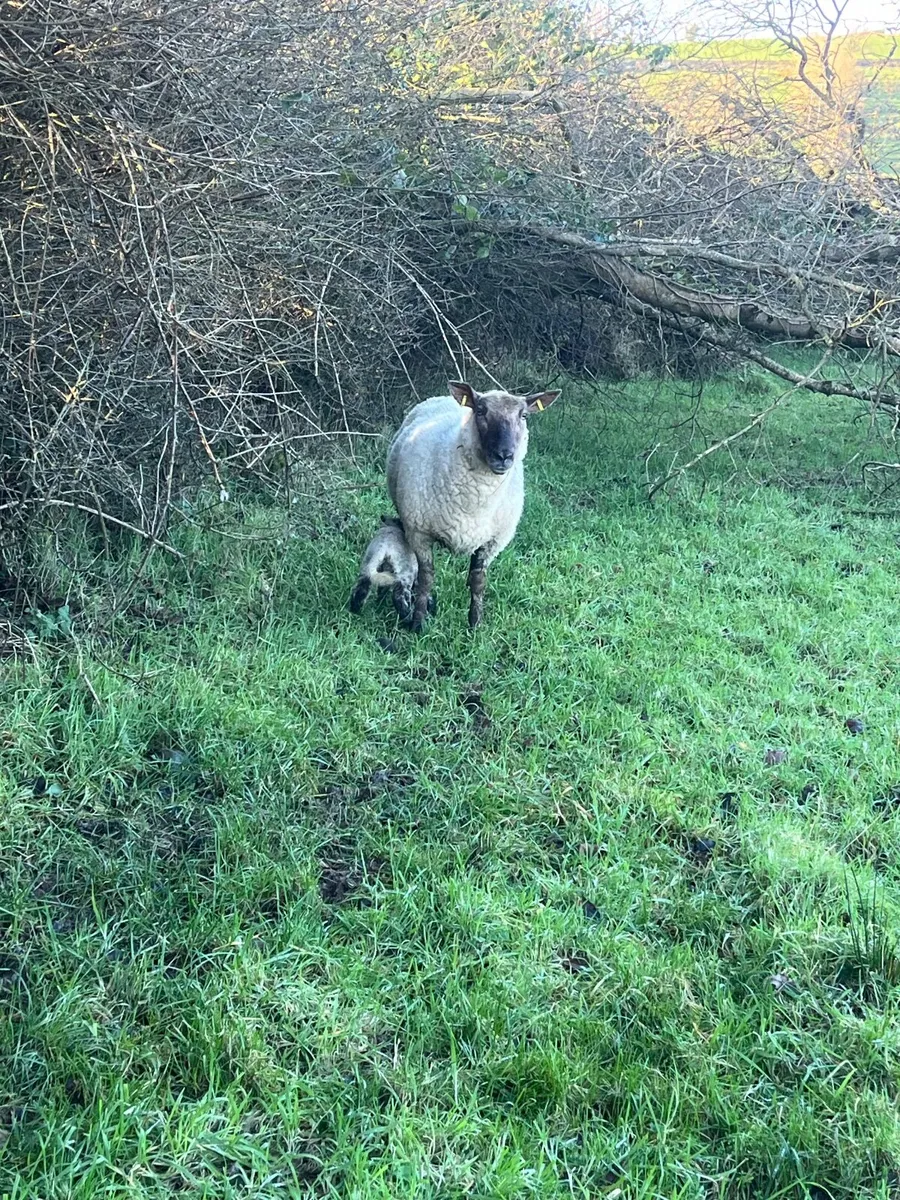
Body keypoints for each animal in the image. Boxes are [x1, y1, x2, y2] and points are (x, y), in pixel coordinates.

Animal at [386, 378, 560, 632]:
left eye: (524, 415)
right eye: (480, 411)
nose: (504, 456)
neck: (475, 500)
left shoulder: (493, 542)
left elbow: (479, 581)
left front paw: (475, 625)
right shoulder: (419, 533)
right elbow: (427, 578)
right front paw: (418, 623)